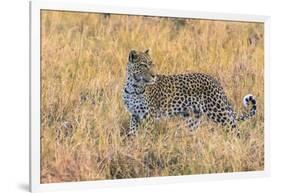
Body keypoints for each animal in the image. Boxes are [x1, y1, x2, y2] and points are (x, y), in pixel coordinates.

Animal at [121, 49, 255, 137]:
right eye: (143, 65)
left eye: (152, 64)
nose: (154, 75)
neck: (133, 87)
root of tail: (215, 81)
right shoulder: (134, 114)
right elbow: (132, 132)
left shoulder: (149, 116)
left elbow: (147, 133)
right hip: (193, 118)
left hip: (218, 111)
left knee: (234, 128)